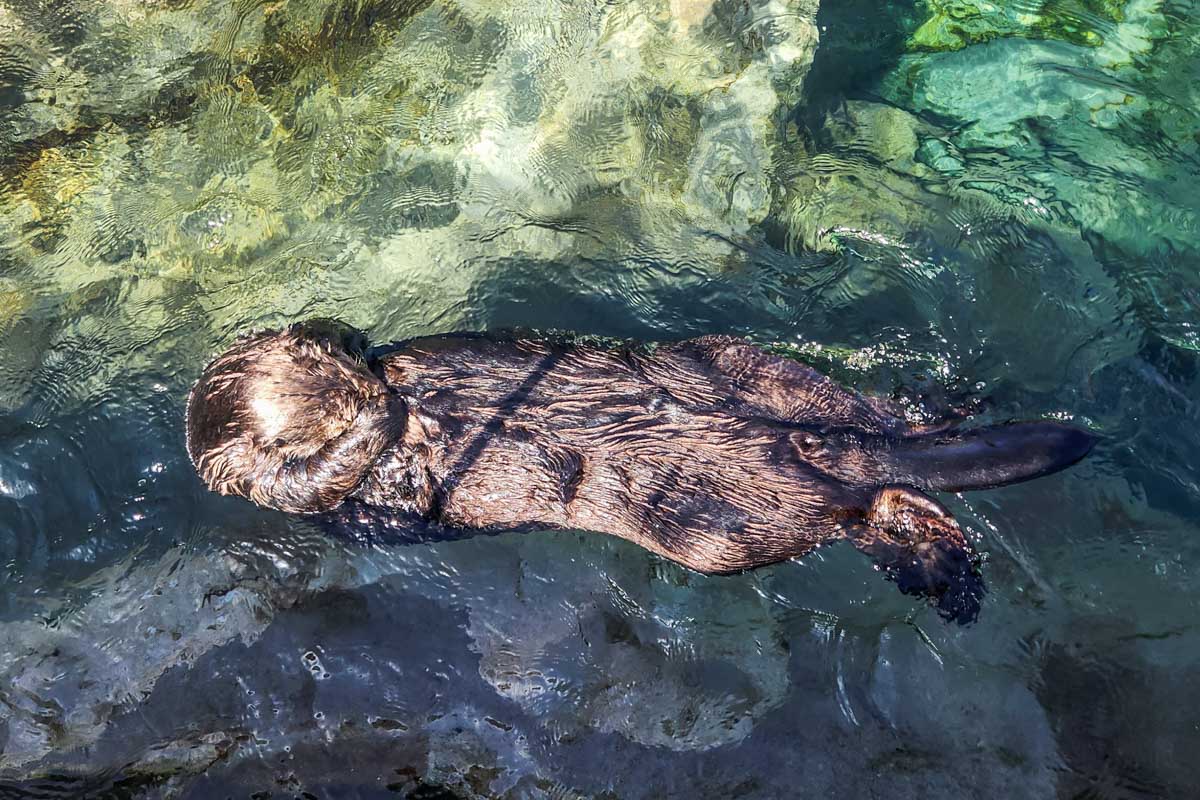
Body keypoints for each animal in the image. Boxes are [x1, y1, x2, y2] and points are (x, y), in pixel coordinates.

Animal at [185, 320, 1096, 623]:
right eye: (312, 407)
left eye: (334, 369)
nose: (366, 385)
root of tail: (803, 444)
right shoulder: (339, 507)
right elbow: (325, 479)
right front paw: (379, 423)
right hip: (718, 521)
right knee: (876, 507)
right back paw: (949, 576)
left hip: (741, 369)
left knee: (873, 433)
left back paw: (936, 404)